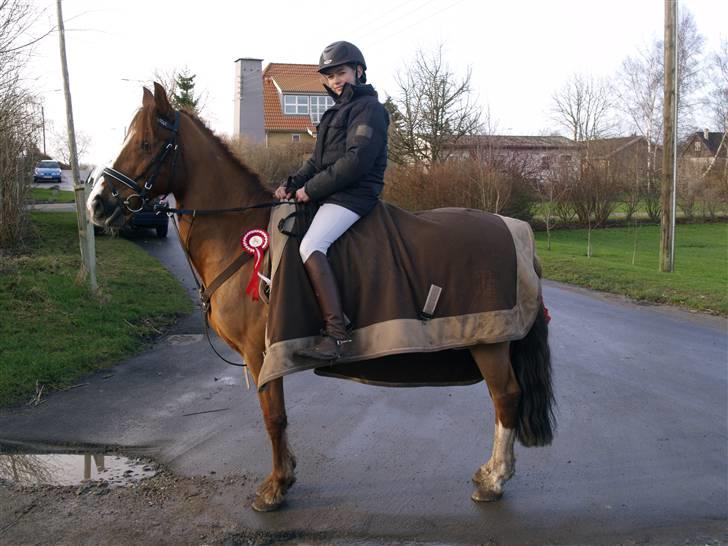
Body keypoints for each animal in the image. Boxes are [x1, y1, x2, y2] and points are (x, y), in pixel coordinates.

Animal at [88, 82, 556, 510]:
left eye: (146, 143)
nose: (97, 204)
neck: (241, 235)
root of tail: (517, 231)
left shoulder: (261, 353)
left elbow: (273, 417)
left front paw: (276, 487)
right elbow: (277, 418)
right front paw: (287, 473)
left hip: (490, 341)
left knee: (506, 397)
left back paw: (494, 480)